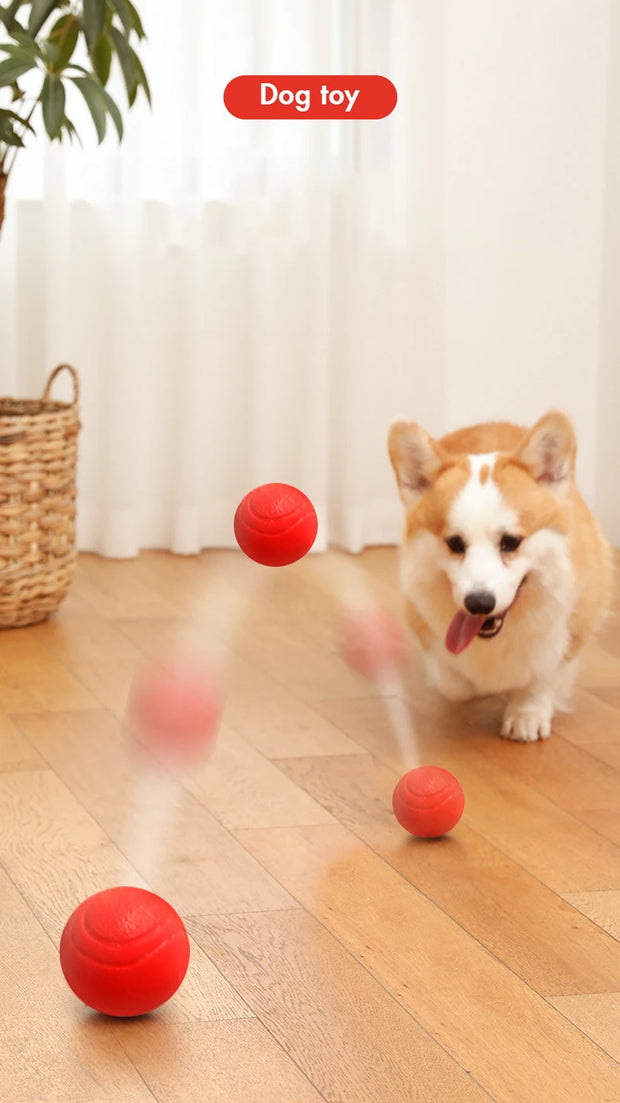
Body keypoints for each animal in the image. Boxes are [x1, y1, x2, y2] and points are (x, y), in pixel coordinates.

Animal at [386, 412, 608, 741]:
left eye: (511, 542)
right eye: (454, 543)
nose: (478, 603)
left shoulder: (570, 629)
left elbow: (542, 675)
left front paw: (526, 713)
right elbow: (455, 684)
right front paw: (483, 688)